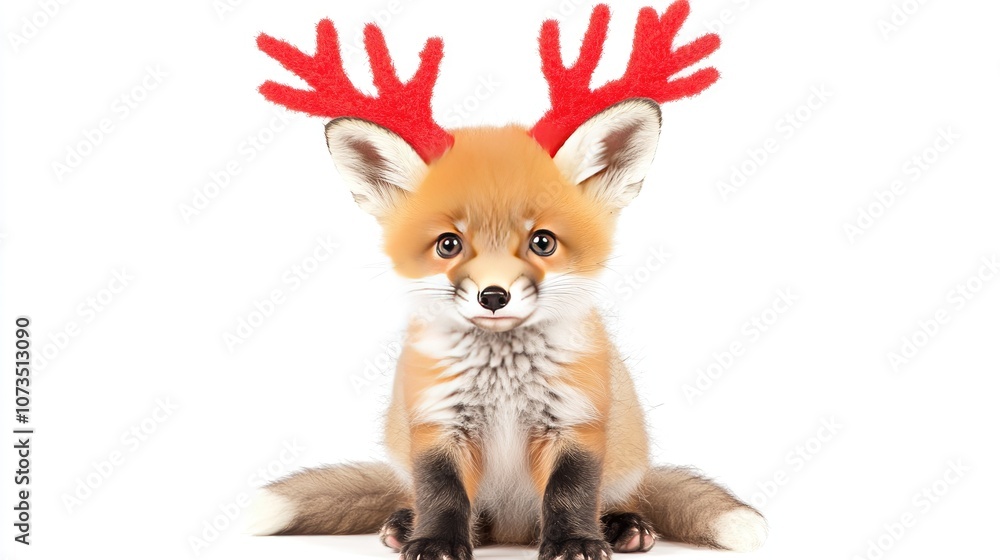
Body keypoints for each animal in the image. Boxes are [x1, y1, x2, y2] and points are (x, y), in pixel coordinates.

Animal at [247, 3, 767, 559]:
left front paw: (576, 543)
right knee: (449, 509)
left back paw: (622, 525)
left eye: (542, 242)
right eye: (448, 244)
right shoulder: (435, 422)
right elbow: (441, 492)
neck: (503, 383)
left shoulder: (577, 419)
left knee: (616, 498)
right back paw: (405, 523)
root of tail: (516, 530)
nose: (493, 296)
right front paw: (434, 542)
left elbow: (570, 491)